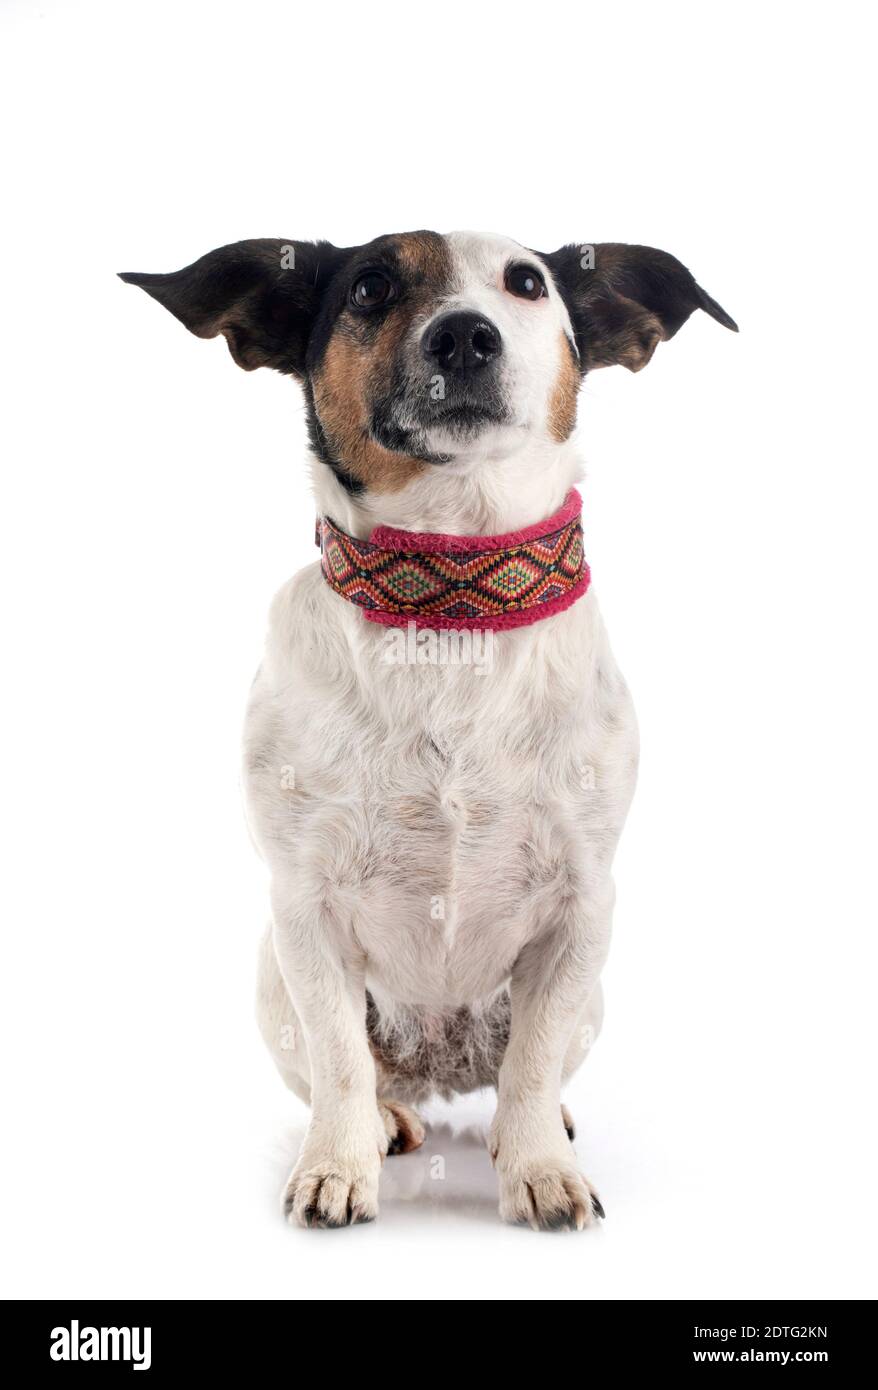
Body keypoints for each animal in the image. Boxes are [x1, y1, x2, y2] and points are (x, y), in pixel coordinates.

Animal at [121, 233, 733, 1234]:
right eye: (371, 286)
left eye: (527, 283)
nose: (465, 337)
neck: (448, 602)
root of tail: (441, 1069)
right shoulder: (304, 911)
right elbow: (337, 1058)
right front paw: (336, 1167)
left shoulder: (583, 911)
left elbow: (532, 1062)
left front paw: (541, 1167)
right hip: (268, 980)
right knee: (353, 1074)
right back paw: (384, 1122)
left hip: (589, 999)